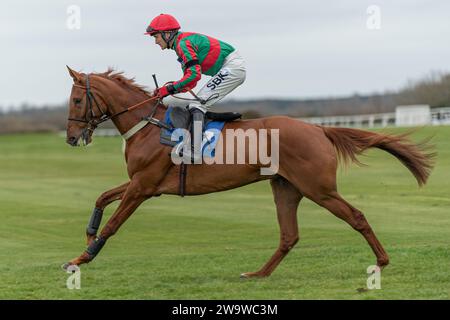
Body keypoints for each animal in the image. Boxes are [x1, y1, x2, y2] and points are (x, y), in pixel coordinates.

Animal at [63, 67, 436, 278]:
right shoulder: (142, 183)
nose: (70, 137)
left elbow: (113, 224)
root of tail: (319, 129)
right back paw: (258, 274)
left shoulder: (143, 186)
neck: (149, 125)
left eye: (77, 101)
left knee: (355, 216)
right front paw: (88, 236)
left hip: (319, 188)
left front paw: (81, 258)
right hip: (286, 187)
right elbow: (102, 198)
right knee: (289, 235)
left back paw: (381, 261)